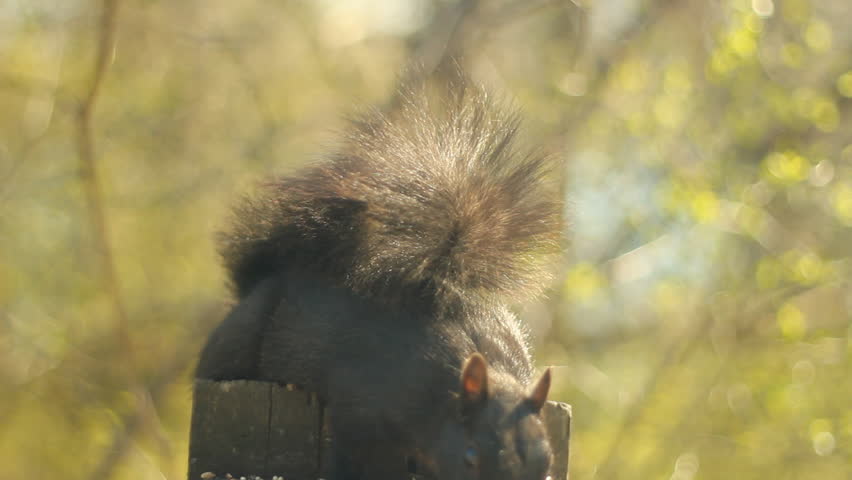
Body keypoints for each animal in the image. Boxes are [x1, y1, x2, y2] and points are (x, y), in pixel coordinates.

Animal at [196, 79, 563, 480]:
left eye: (548, 465)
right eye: (470, 457)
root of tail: (261, 281)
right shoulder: (363, 407)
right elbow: (354, 459)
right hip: (239, 340)